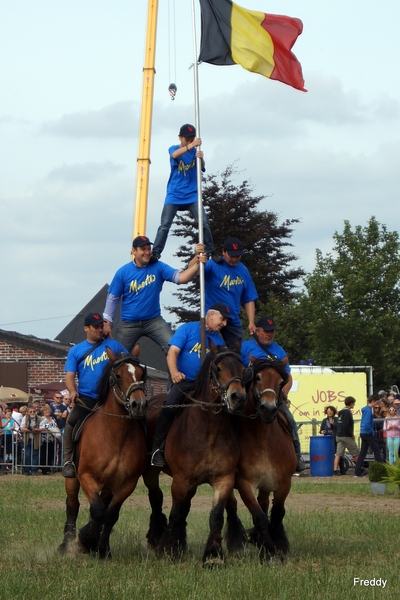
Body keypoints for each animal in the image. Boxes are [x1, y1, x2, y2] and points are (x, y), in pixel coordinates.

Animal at [58, 346, 148, 556]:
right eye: (118, 375)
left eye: (141, 374)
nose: (138, 404)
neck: (115, 435)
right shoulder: (86, 476)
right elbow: (97, 510)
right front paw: (87, 540)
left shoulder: (127, 484)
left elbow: (110, 514)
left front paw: (102, 549)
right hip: (73, 479)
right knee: (72, 505)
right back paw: (66, 544)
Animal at [144, 342, 247, 568]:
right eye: (218, 368)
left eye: (243, 369)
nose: (238, 397)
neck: (208, 430)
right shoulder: (181, 481)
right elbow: (176, 513)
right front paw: (169, 550)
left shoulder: (223, 480)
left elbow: (216, 516)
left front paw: (213, 555)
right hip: (151, 474)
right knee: (157, 499)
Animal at [225, 356, 296, 556]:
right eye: (257, 377)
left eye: (281, 382)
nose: (268, 409)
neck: (264, 439)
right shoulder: (245, 483)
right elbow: (259, 516)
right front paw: (268, 550)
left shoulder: (284, 482)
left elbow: (278, 512)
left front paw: (279, 543)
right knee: (232, 505)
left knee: (264, 502)